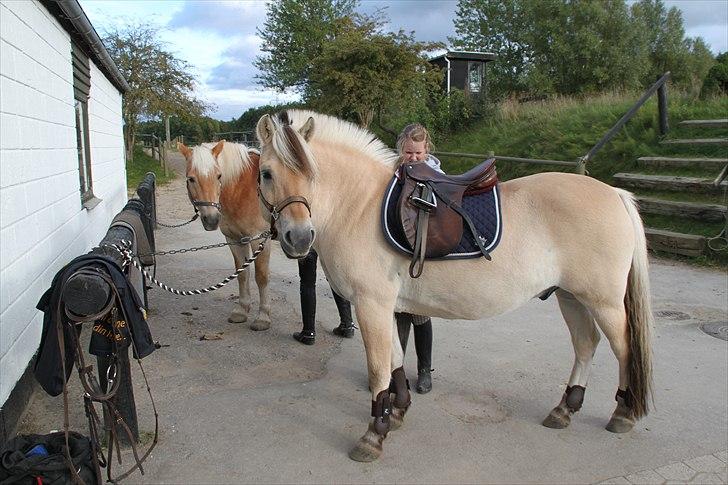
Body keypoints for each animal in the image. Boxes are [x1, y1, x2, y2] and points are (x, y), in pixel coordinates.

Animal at [179, 140, 272, 328]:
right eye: (191, 179)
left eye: (219, 176)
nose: (211, 219)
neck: (244, 189)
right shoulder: (234, 240)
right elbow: (242, 274)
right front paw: (241, 310)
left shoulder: (259, 239)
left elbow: (261, 276)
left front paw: (263, 317)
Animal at [252, 109, 656, 462]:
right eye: (267, 173)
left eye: (311, 173)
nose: (299, 238)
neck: (360, 206)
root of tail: (615, 194)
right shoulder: (386, 307)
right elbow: (396, 363)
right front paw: (398, 413)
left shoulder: (371, 305)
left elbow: (379, 369)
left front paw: (373, 435)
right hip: (570, 296)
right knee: (586, 344)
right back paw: (565, 409)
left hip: (602, 302)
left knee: (624, 348)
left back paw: (623, 413)